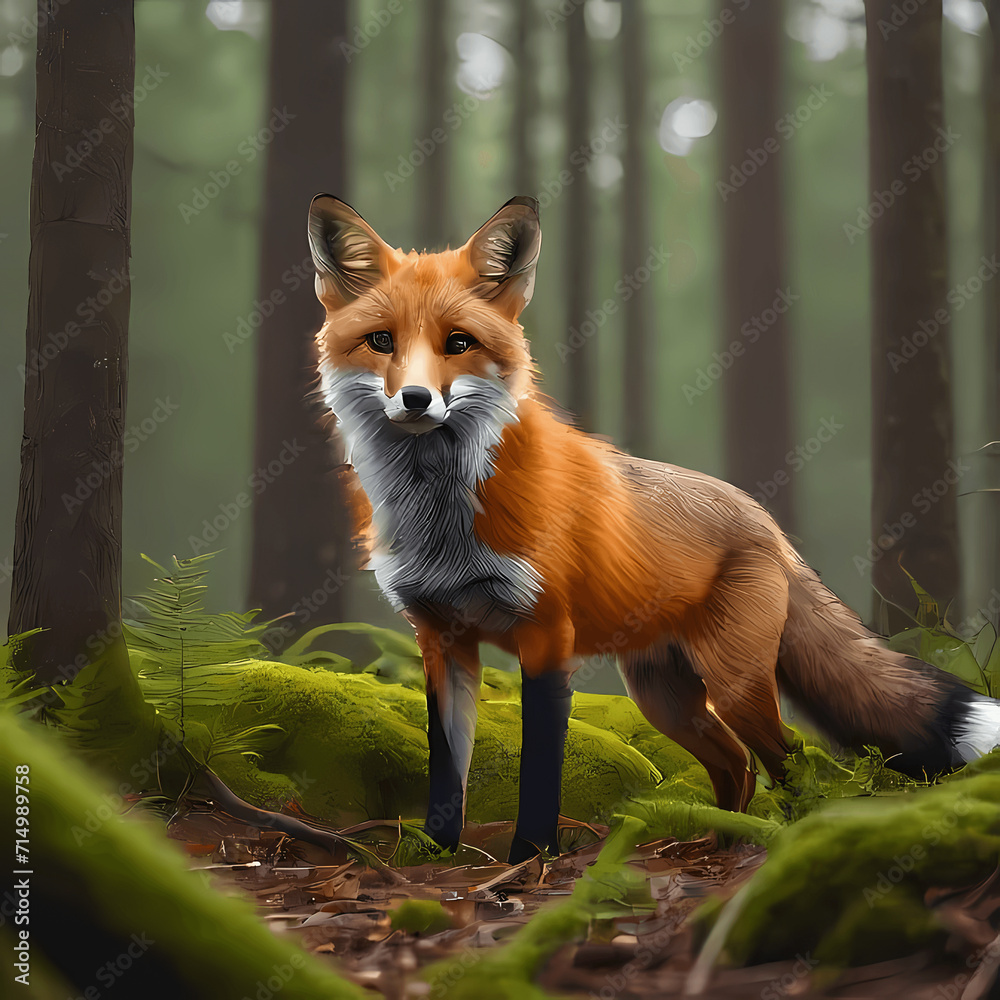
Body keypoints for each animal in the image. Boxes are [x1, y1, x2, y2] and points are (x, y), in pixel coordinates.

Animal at [307, 193, 1000, 863]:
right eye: (381, 341)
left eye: (457, 344)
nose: (416, 400)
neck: (441, 516)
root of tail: (764, 521)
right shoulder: (440, 640)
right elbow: (446, 767)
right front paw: (434, 853)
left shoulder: (547, 637)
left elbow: (540, 769)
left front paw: (529, 858)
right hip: (663, 698)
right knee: (737, 765)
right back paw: (718, 842)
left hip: (734, 685)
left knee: (789, 759)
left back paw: (785, 840)